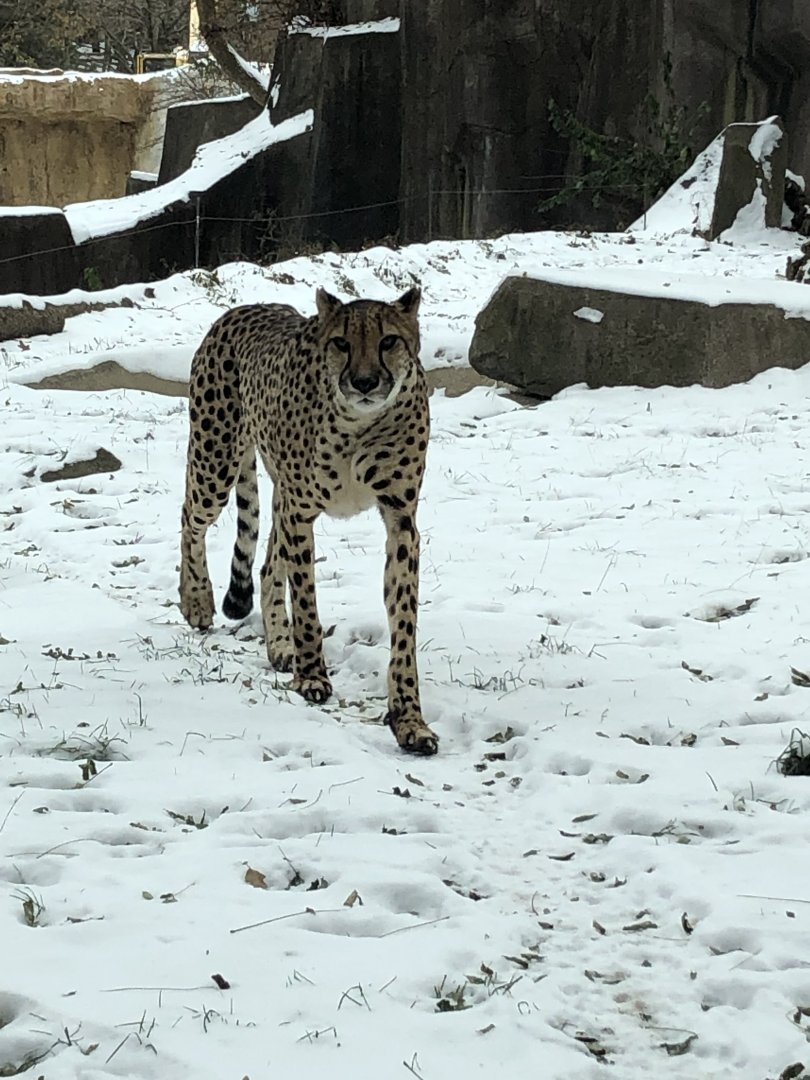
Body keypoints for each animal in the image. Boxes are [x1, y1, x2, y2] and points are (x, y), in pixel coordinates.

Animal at [178, 286, 438, 755]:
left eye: (389, 340)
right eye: (341, 343)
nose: (365, 383)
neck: (360, 424)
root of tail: (248, 307)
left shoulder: (400, 520)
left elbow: (403, 624)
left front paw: (410, 719)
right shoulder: (301, 511)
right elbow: (305, 601)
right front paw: (312, 675)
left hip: (274, 490)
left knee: (266, 566)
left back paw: (279, 645)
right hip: (216, 461)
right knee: (190, 518)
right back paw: (196, 600)